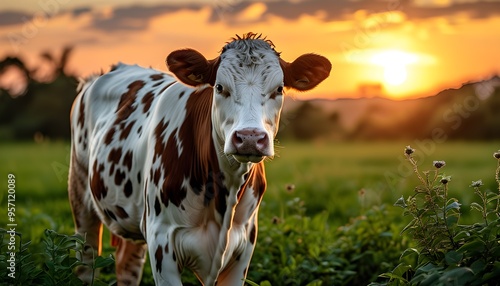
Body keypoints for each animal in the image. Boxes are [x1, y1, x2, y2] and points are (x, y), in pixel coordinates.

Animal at [67, 32, 332, 284]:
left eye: (279, 89)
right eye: (219, 87)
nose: (249, 137)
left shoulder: (245, 245)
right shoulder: (161, 242)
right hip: (81, 198)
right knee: (84, 263)